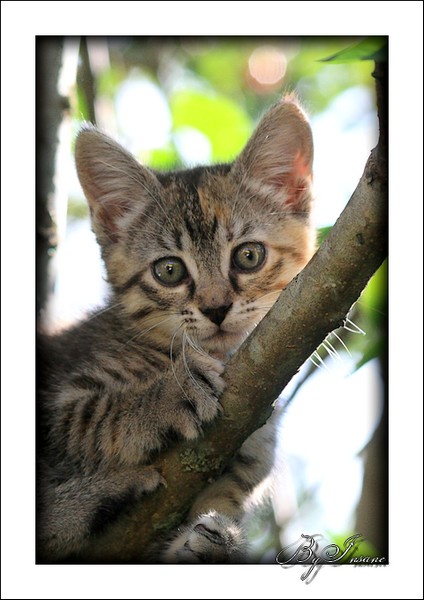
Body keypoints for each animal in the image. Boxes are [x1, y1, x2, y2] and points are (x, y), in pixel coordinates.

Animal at [37, 95, 314, 564]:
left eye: (249, 256)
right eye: (169, 271)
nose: (216, 308)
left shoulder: (243, 468)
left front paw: (211, 541)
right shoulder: (55, 400)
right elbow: (91, 416)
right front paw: (172, 392)